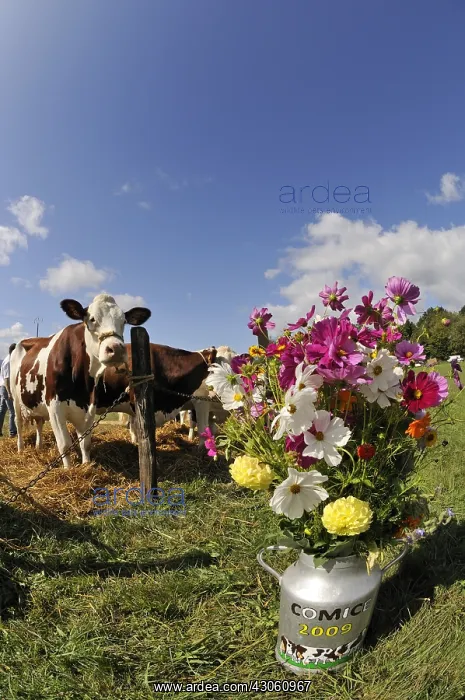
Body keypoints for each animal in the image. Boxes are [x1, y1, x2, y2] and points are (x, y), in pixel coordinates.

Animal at [10, 294, 151, 467]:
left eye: (124, 321)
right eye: (92, 319)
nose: (116, 349)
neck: (81, 384)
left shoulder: (90, 407)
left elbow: (85, 443)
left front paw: (86, 465)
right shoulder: (54, 407)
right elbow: (64, 445)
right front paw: (69, 469)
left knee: (39, 422)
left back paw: (39, 446)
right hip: (15, 399)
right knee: (18, 423)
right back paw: (21, 449)